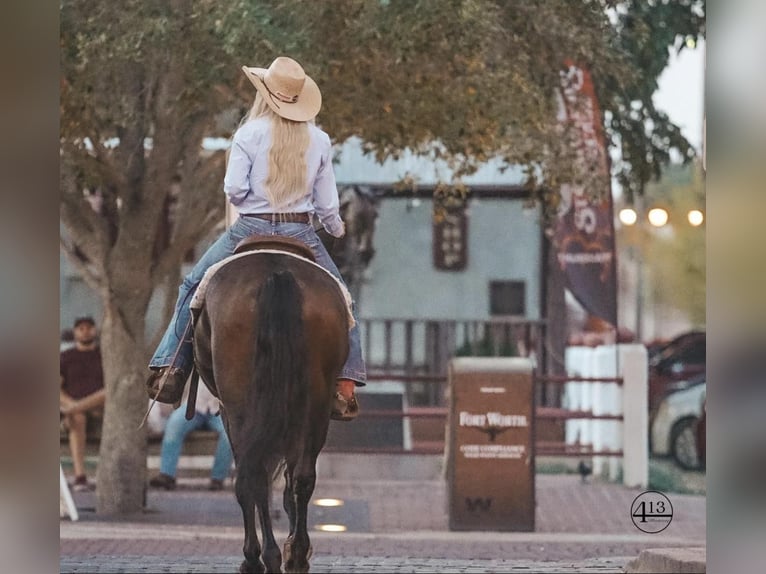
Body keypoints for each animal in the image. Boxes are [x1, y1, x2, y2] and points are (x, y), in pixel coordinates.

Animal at [194, 252, 350, 574]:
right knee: (302, 477)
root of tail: (276, 272)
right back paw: (296, 555)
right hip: (314, 403)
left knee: (252, 477)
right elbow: (290, 484)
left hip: (240, 404)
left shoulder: (229, 412)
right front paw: (292, 545)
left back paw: (261, 556)